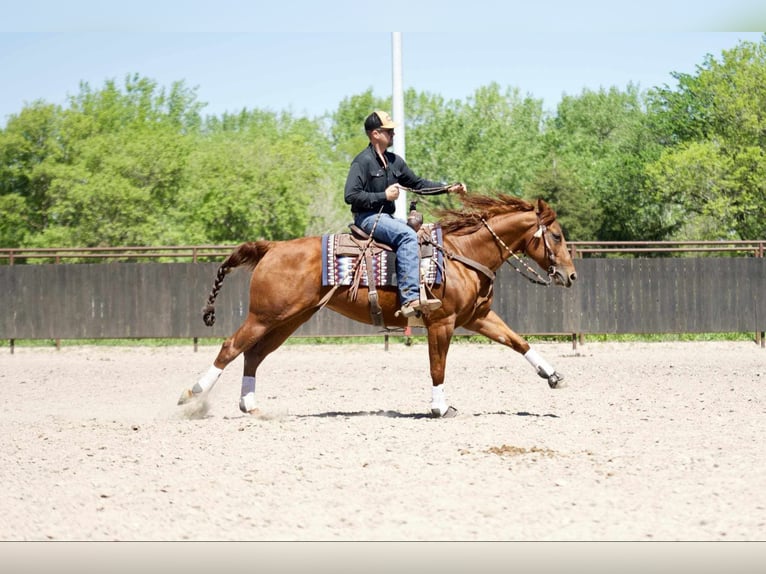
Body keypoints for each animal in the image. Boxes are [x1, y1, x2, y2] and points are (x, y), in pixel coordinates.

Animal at [178, 194, 576, 418]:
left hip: (289, 319)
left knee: (254, 354)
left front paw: (553, 375)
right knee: (231, 347)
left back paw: (250, 405)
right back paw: (192, 395)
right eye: (556, 236)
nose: (570, 276)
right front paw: (439, 407)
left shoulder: (477, 317)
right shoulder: (442, 322)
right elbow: (438, 368)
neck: (462, 254)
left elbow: (517, 341)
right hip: (265, 316)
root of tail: (272, 247)